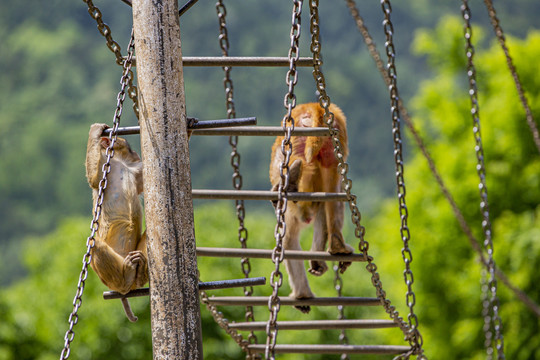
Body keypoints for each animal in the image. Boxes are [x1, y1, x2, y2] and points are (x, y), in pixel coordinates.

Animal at [85, 123, 148, 320]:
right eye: (130, 148)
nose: (137, 155)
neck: (120, 163)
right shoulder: (105, 166)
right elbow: (94, 178)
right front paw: (95, 131)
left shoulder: (134, 171)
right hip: (113, 271)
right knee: (93, 243)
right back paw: (125, 279)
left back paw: (140, 274)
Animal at [268, 102, 354, 312]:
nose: (307, 217)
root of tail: (313, 108)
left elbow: (289, 242)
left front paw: (303, 294)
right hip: (323, 139)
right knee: (333, 186)